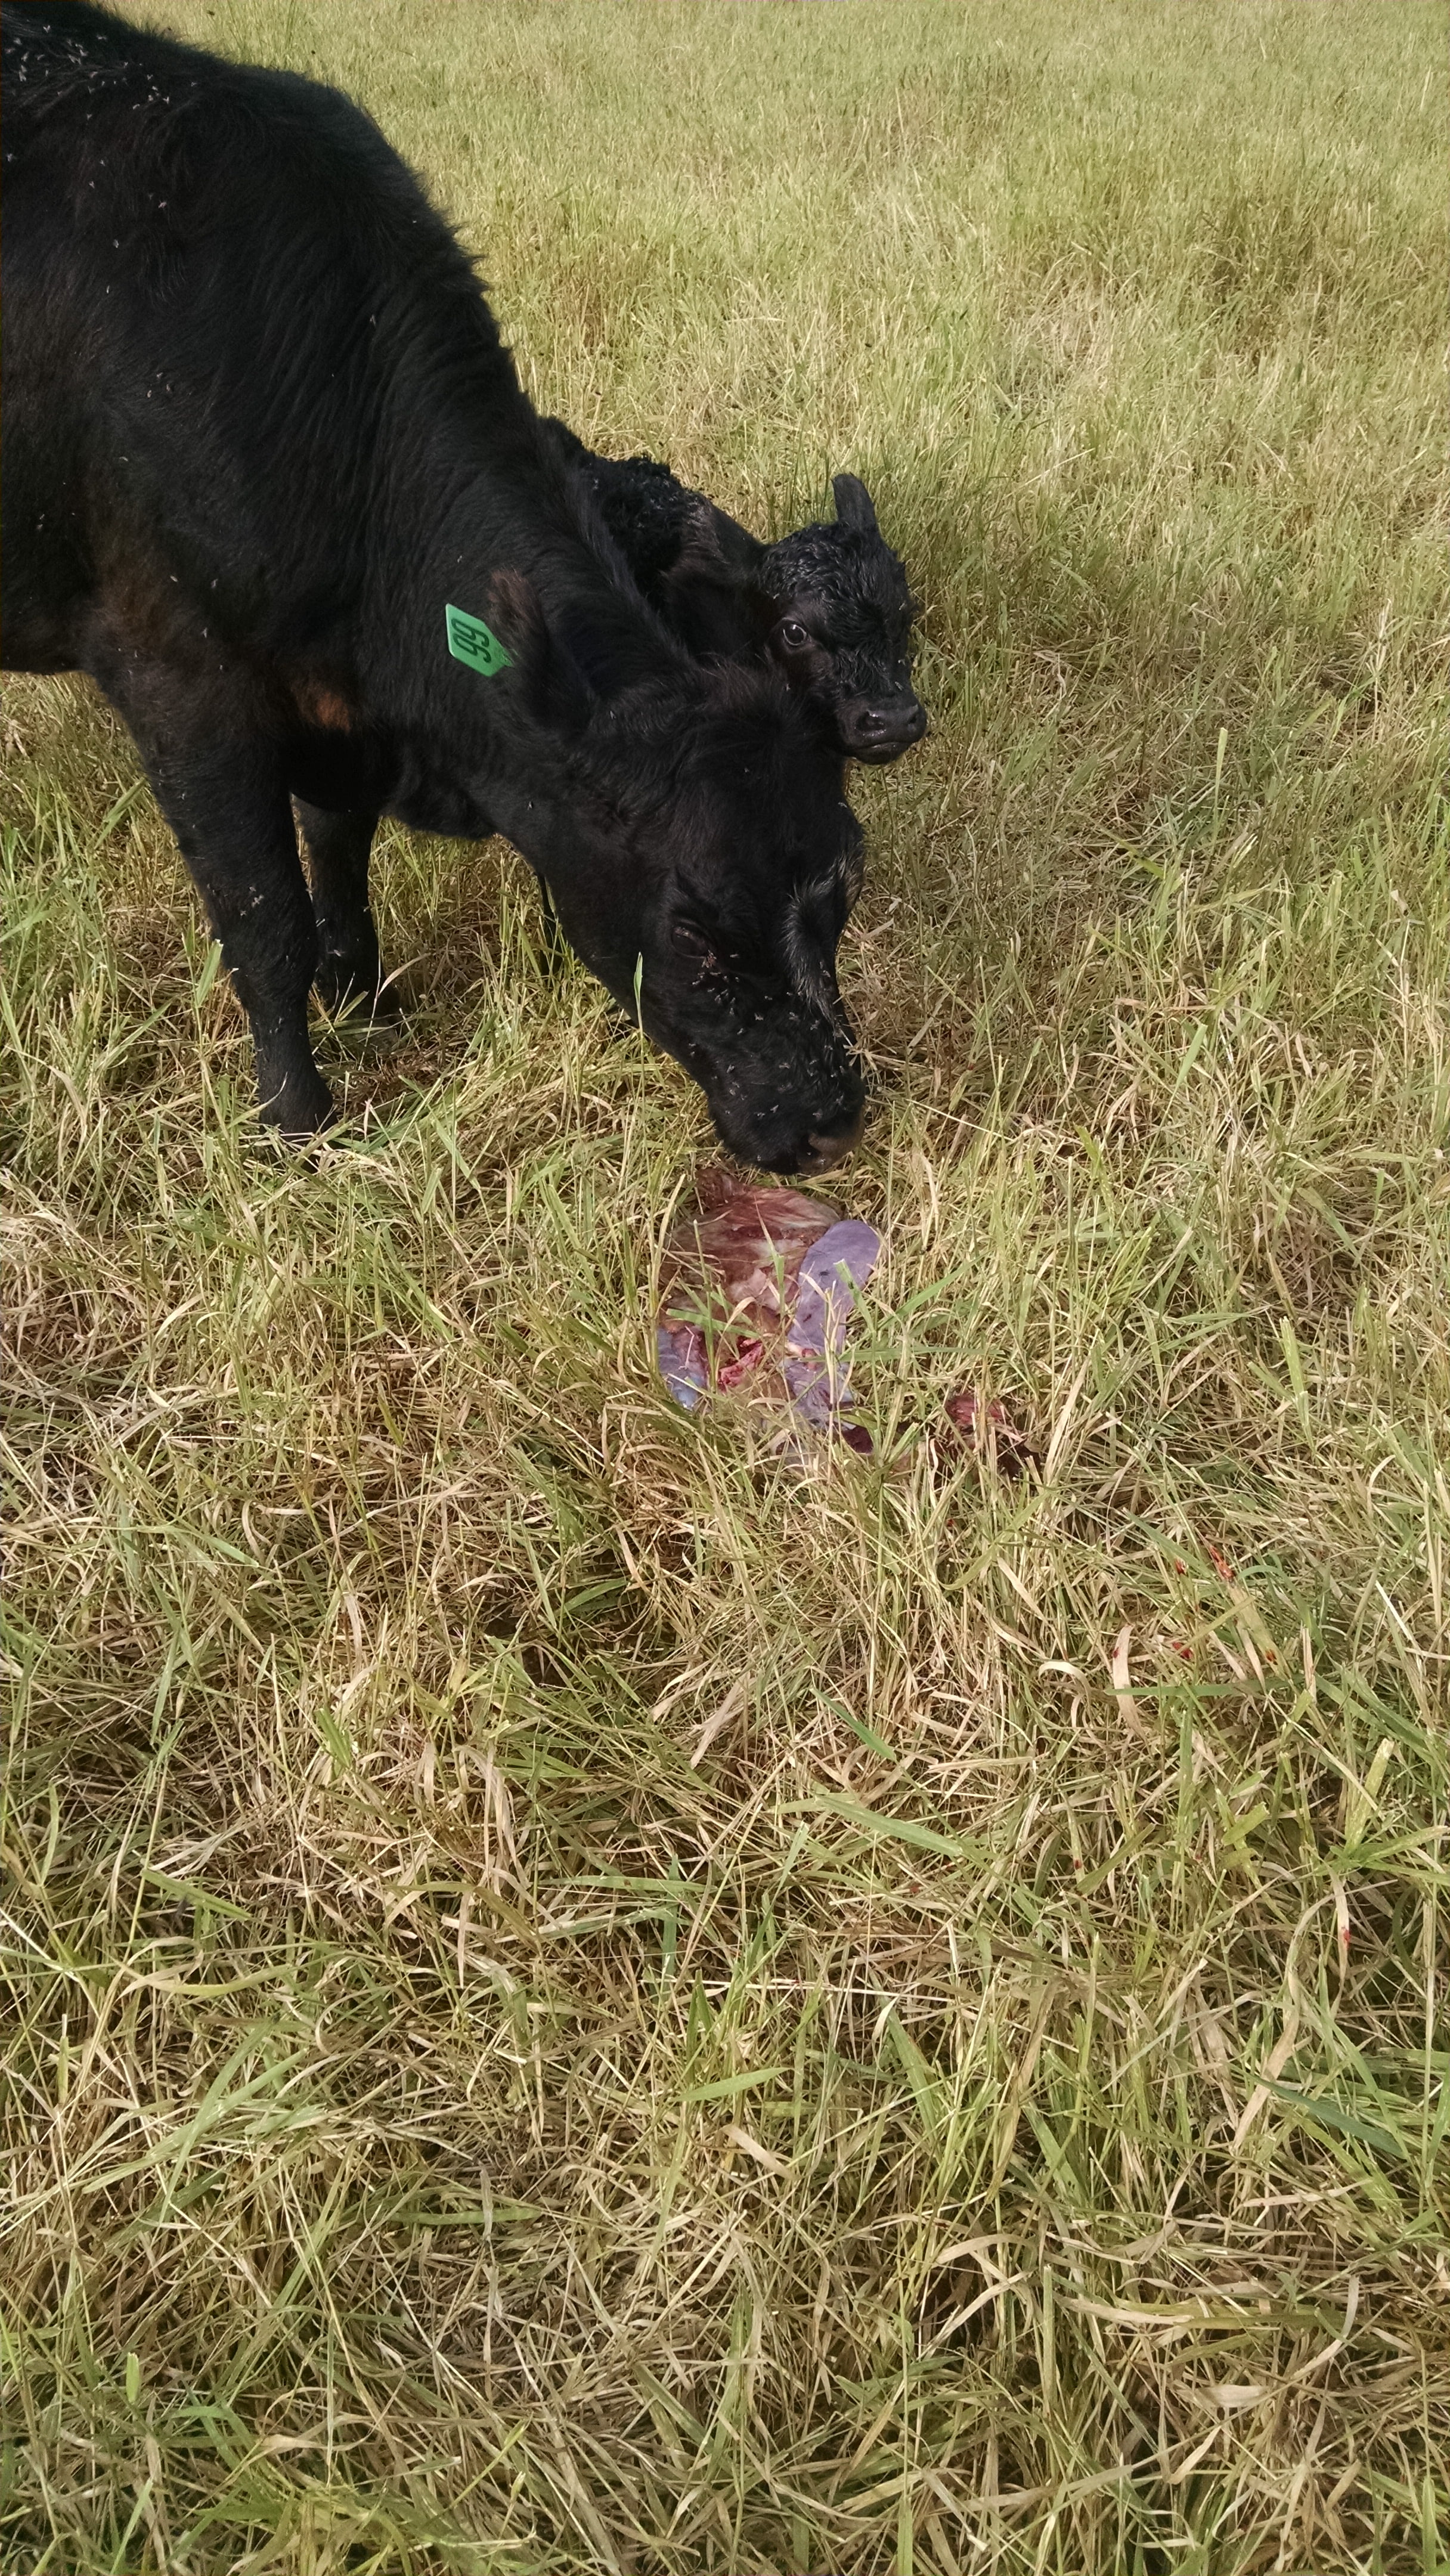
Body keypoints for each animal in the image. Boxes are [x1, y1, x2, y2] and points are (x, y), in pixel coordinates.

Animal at [0, 5, 870, 1174]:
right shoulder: (177, 675)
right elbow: (262, 914)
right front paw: (299, 1119)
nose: (832, 1120)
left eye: (844, 883)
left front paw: (366, 999)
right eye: (694, 925)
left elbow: (337, 853)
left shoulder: (333, 711)